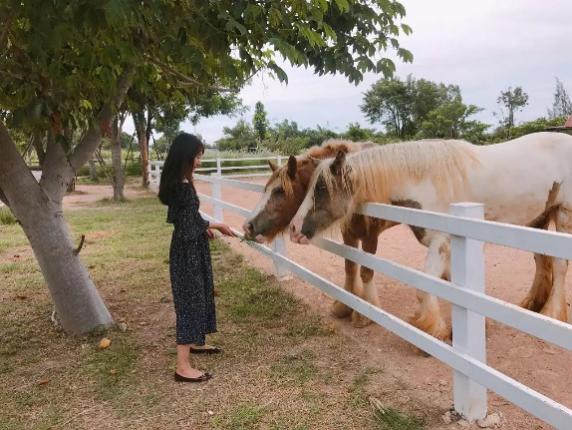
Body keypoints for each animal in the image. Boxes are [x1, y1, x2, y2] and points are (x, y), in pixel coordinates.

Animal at [242, 140, 424, 326]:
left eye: (280, 191)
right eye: (266, 189)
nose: (248, 227)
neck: (358, 185)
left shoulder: (370, 237)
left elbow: (366, 273)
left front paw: (364, 314)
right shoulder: (349, 234)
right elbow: (350, 267)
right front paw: (345, 307)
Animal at [290, 131, 572, 340]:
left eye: (322, 188)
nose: (293, 229)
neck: (425, 181)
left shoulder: (441, 242)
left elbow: (426, 287)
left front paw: (431, 329)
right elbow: (452, 286)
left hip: (563, 216)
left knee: (559, 266)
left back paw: (552, 313)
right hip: (538, 220)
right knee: (542, 261)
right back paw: (532, 304)